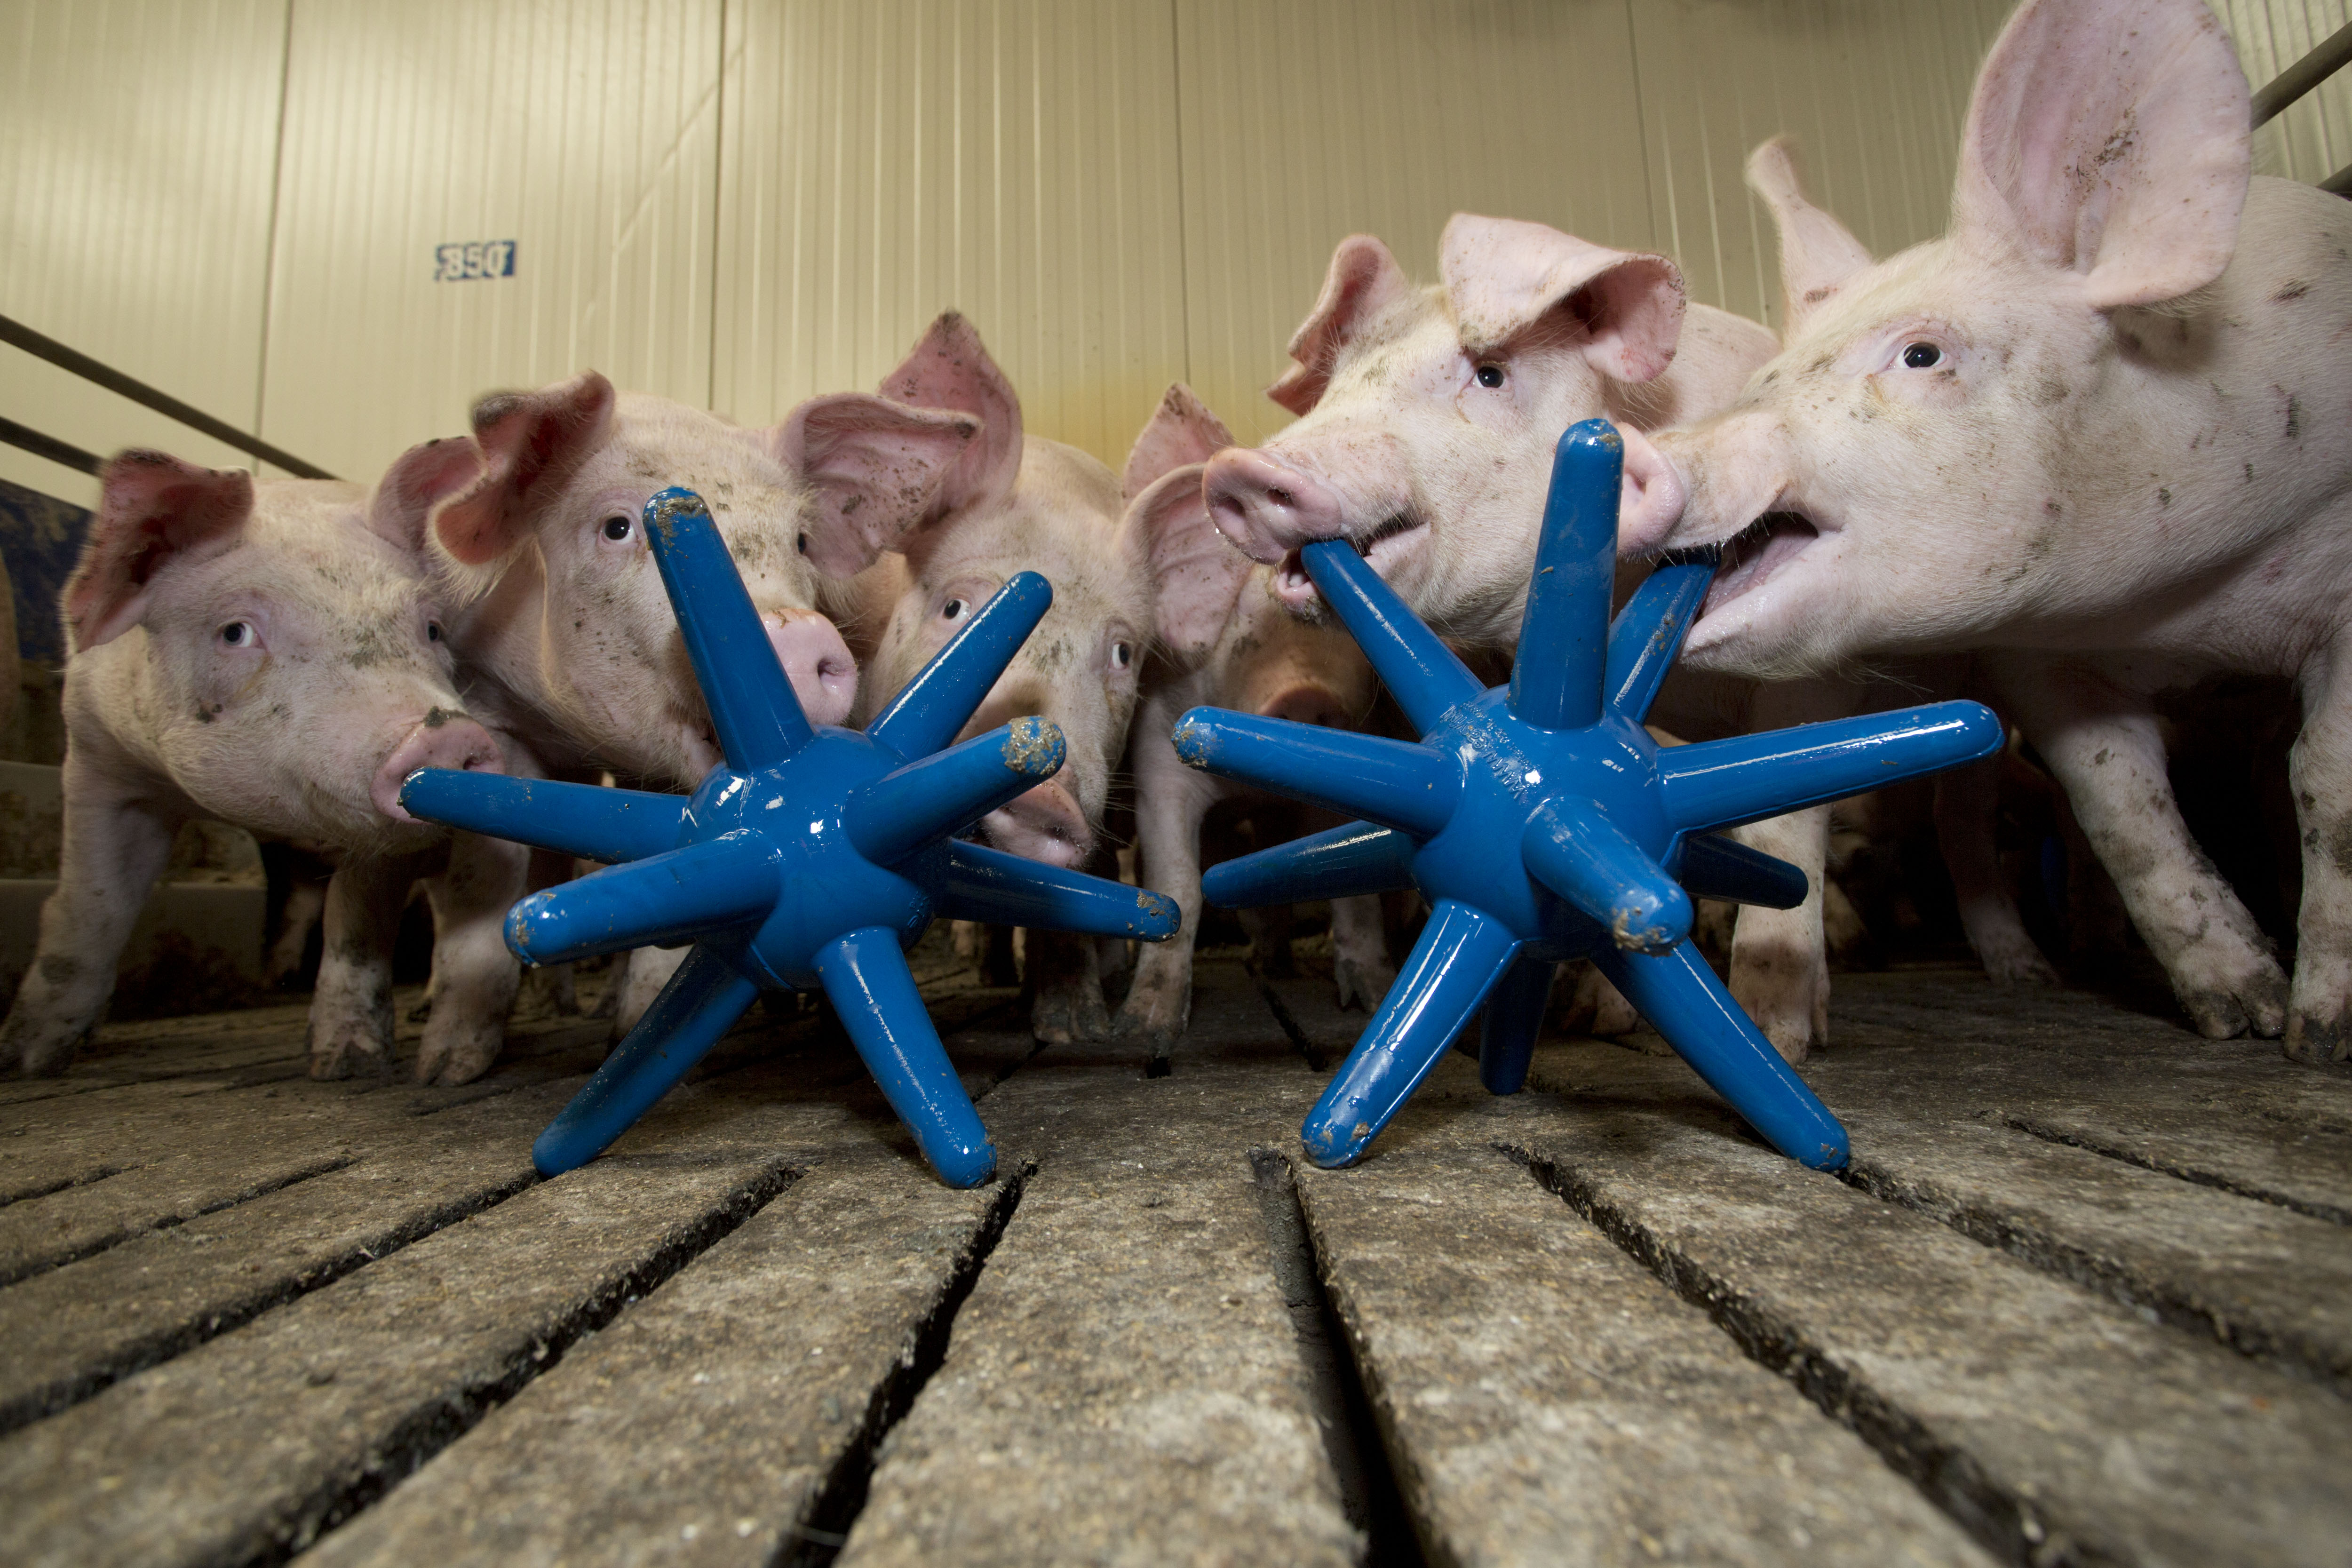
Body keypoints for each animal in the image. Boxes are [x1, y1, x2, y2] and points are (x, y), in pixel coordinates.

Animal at [0, 448, 525, 1082]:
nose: (447, 735)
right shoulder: (99, 758)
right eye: (235, 632)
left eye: (431, 628)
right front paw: (26, 1060)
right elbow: (92, 906)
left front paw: (344, 1064)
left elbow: (353, 915)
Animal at [1112, 391, 1388, 1051]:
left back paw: (1273, 965)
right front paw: (1143, 1030)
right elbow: (1179, 882)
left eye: (1353, 639)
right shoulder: (1158, 757)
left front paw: (1368, 997)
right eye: (1242, 635)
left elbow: (1349, 890)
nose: (1306, 693)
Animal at [1638, 0, 2352, 1063]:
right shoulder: (2036, 660)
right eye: (1765, 379)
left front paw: (2309, 1037)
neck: (2183, 611)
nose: (1634, 448)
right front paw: (2239, 1013)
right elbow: (2123, 805)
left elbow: (2324, 780)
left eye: (1921, 354)